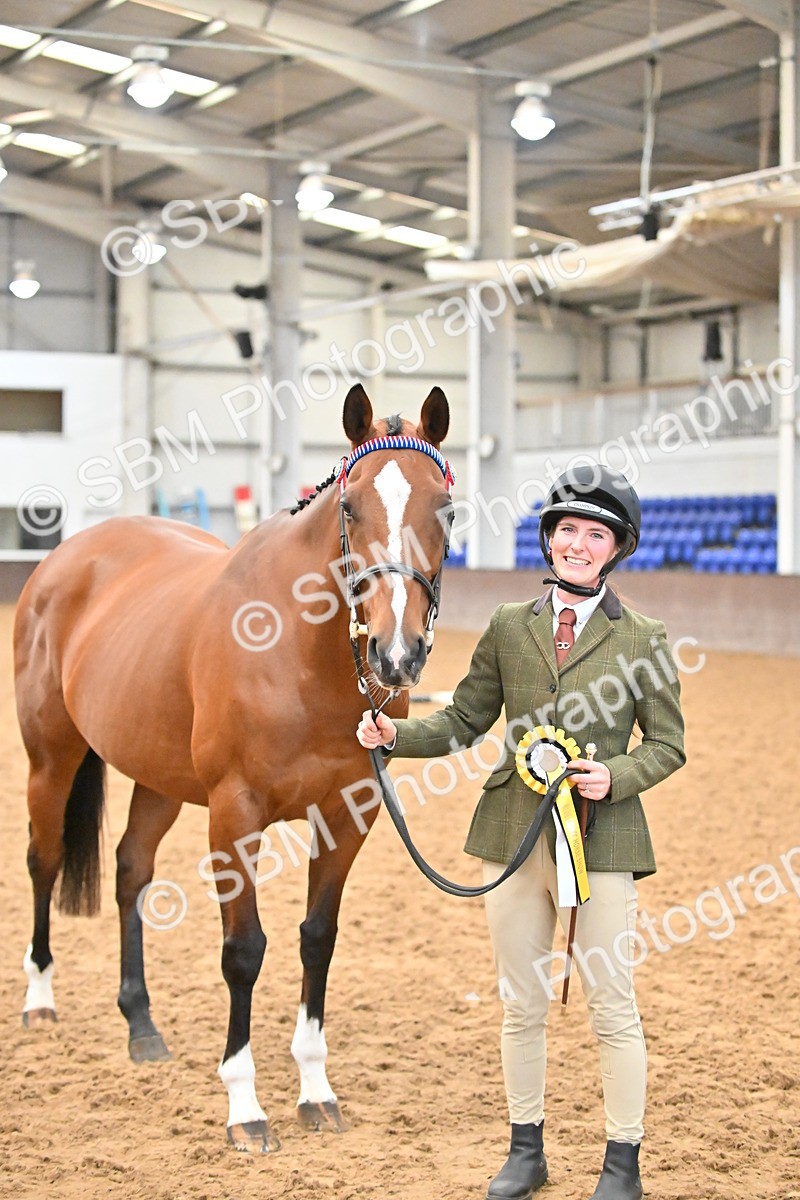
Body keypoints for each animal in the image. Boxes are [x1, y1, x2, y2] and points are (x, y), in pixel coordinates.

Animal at [14, 382, 453, 1152]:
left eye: (446, 509)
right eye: (350, 507)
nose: (397, 655)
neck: (301, 654)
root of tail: (66, 559)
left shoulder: (350, 811)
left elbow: (317, 941)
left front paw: (316, 1091)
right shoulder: (234, 811)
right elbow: (243, 951)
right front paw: (245, 1108)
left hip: (158, 780)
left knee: (130, 872)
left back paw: (141, 1026)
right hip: (51, 757)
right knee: (44, 860)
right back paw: (40, 1000)